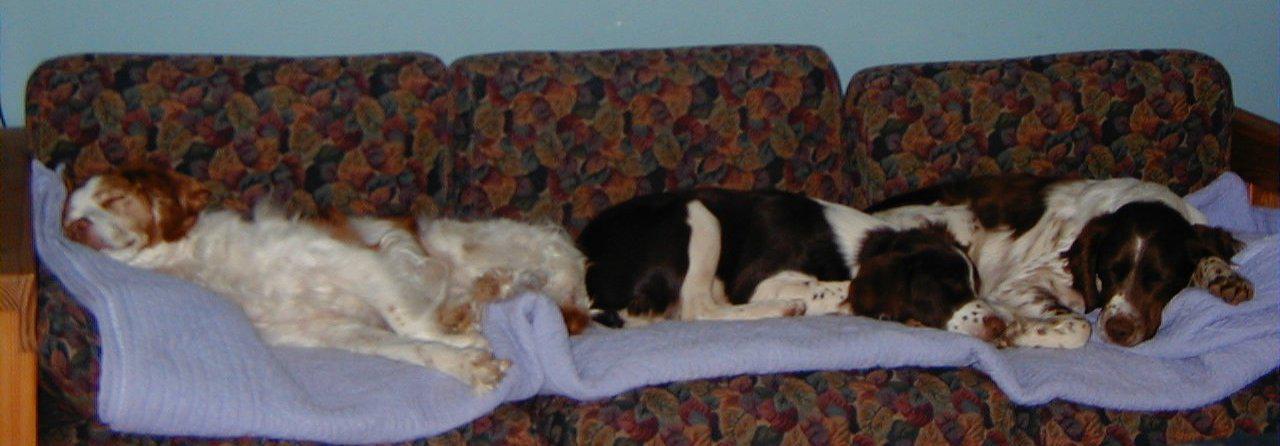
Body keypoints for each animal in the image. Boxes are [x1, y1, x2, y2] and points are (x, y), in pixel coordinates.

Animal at [62, 167, 591, 391]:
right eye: (68, 222)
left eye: (112, 200)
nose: (80, 229)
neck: (205, 263)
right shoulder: (329, 329)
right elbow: (407, 346)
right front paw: (466, 361)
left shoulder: (360, 263)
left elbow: (409, 324)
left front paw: (463, 343)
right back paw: (474, 302)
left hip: (469, 246)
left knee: (547, 275)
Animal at [577, 188, 1008, 343]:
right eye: (948, 288)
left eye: (976, 287)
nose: (1000, 326)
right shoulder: (760, 281)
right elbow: (839, 286)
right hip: (697, 213)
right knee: (697, 308)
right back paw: (784, 309)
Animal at [868, 174, 1253, 348]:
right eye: (1107, 272)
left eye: (1158, 278)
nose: (1118, 330)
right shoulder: (1015, 286)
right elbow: (1079, 325)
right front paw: (1014, 332)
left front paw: (1225, 278)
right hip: (957, 221)